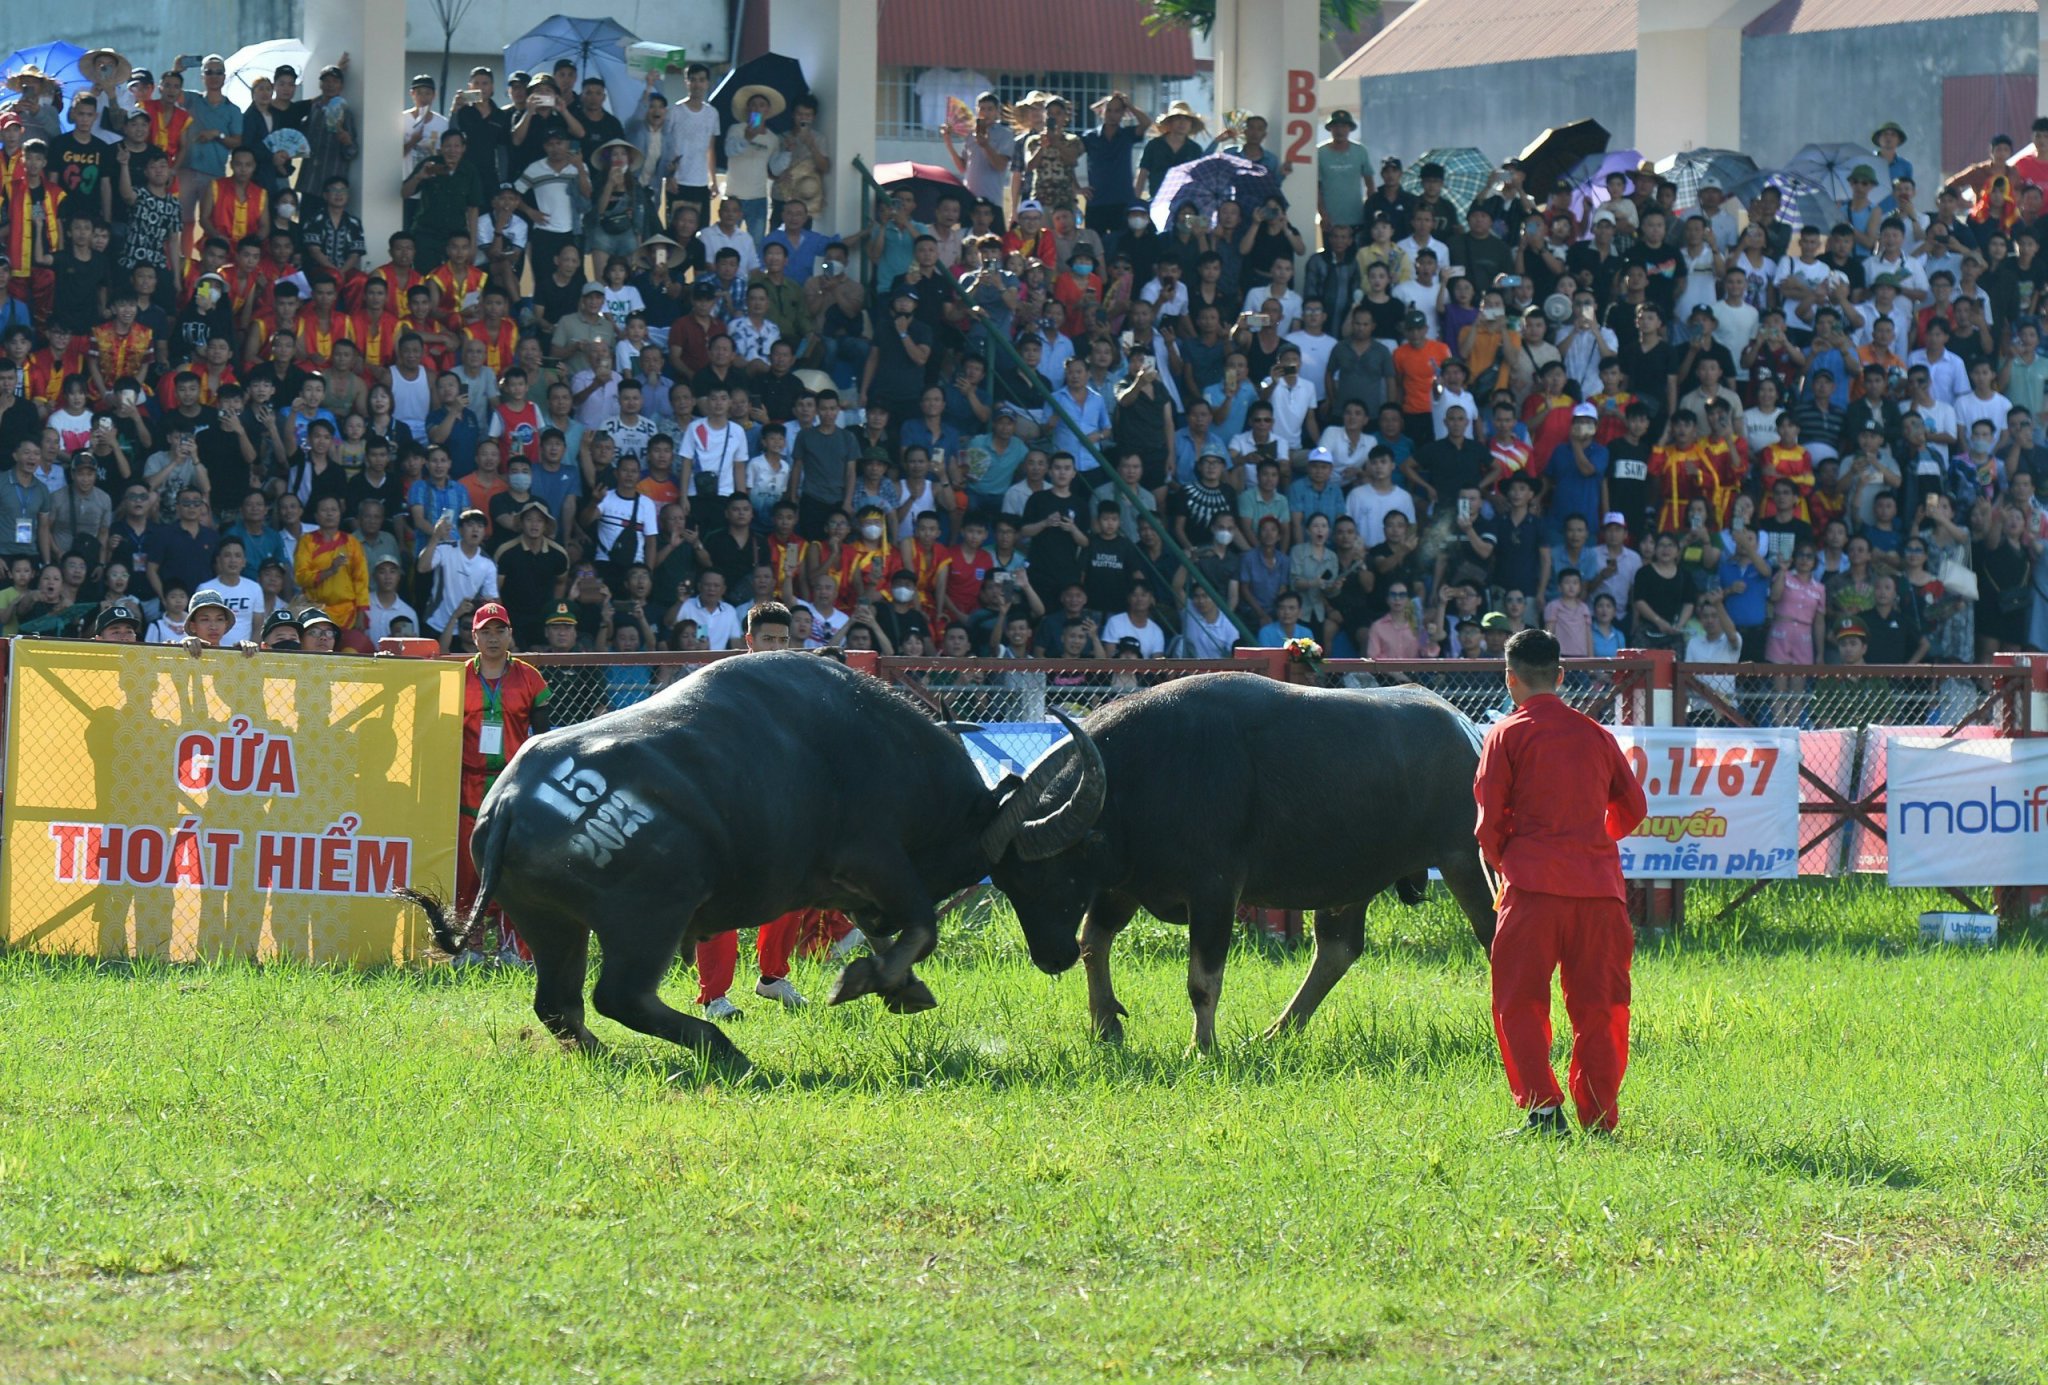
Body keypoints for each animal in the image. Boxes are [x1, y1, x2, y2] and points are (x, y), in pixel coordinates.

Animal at [403, 655, 1105, 1065]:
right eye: (1031, 873)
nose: (1056, 954)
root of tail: (511, 801)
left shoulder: (853, 890)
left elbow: (886, 934)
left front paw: (901, 987)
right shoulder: (879, 862)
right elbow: (923, 928)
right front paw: (864, 983)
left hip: (551, 922)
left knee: (560, 1004)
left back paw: (609, 1055)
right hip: (648, 918)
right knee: (617, 996)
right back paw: (725, 1051)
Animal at [983, 672, 1499, 1048]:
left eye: (1050, 877)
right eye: (1008, 885)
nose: (1050, 958)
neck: (1139, 781)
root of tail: (1467, 729)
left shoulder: (1214, 891)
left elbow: (1202, 979)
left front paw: (1201, 1048)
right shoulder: (1124, 885)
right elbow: (1094, 942)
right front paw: (1106, 1025)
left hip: (1465, 860)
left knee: (1493, 933)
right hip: (1352, 878)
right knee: (1338, 950)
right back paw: (1274, 1034)